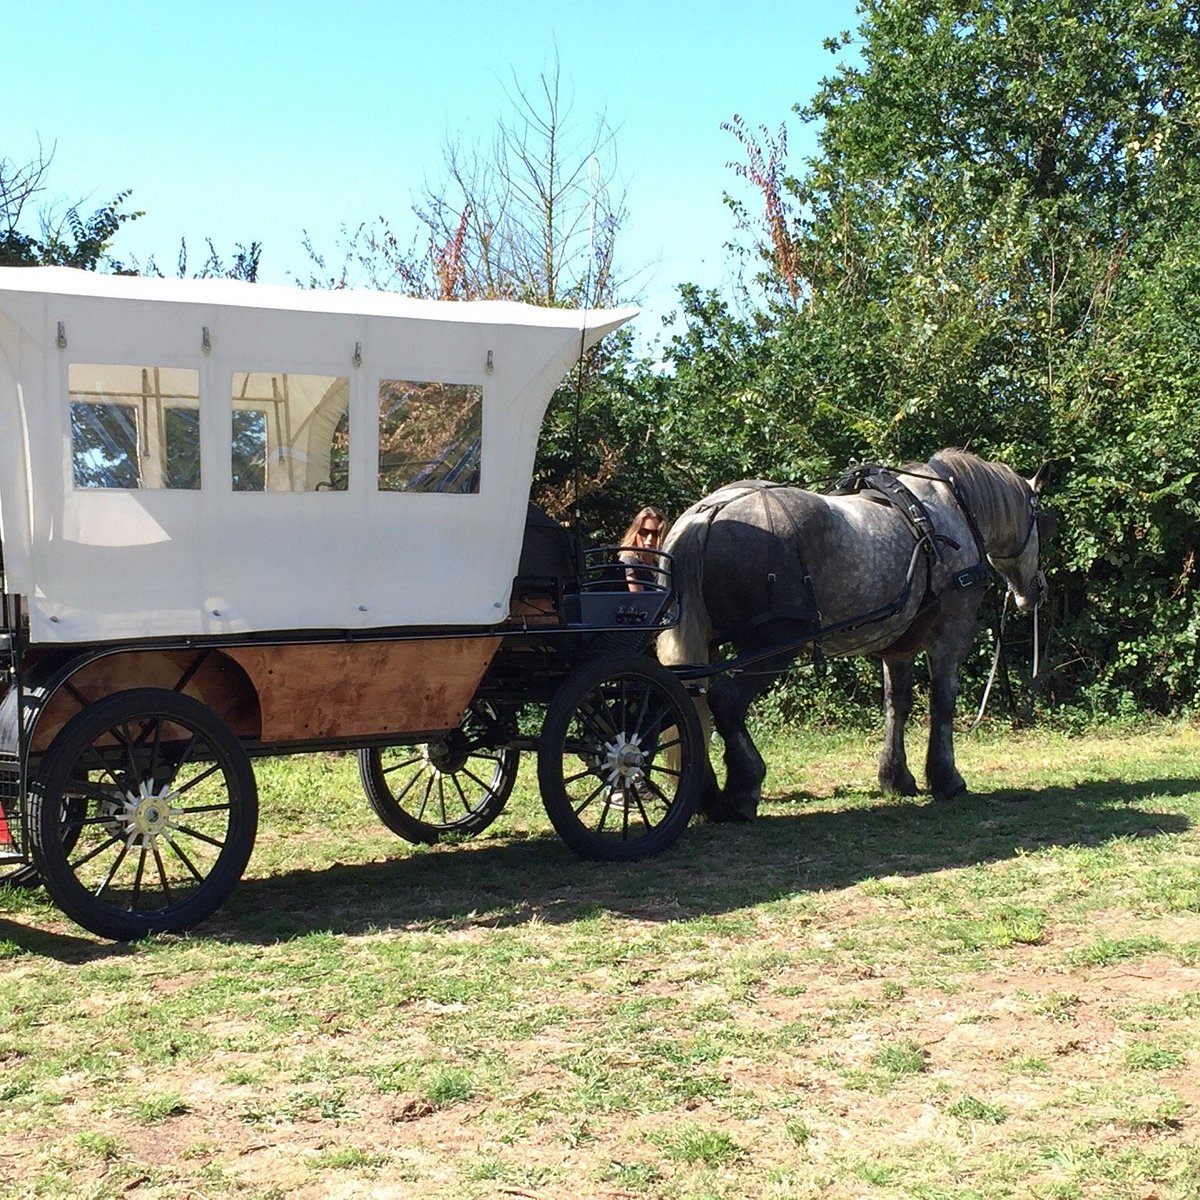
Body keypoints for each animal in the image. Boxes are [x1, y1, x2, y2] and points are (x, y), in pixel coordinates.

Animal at [657, 446, 1051, 820]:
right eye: (1042, 521)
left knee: (690, 703)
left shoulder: (898, 646)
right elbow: (942, 704)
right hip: (771, 643)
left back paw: (706, 797)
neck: (950, 511)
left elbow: (896, 705)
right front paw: (947, 779)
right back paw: (742, 789)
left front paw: (896, 778)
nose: (1037, 591)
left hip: (710, 645)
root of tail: (705, 514)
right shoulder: (951, 634)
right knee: (725, 702)